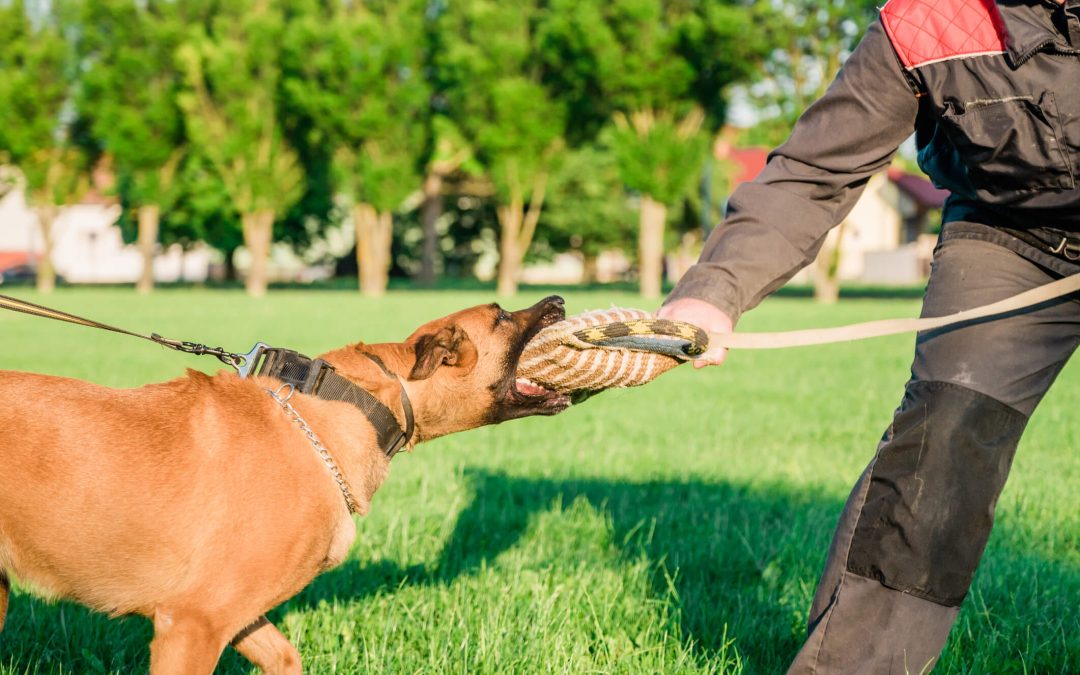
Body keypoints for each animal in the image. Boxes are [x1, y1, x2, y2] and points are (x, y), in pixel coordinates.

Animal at [0, 295, 570, 673]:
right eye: (500, 316)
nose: (558, 300)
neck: (348, 404)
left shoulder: (236, 614)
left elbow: (285, 656)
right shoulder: (191, 624)